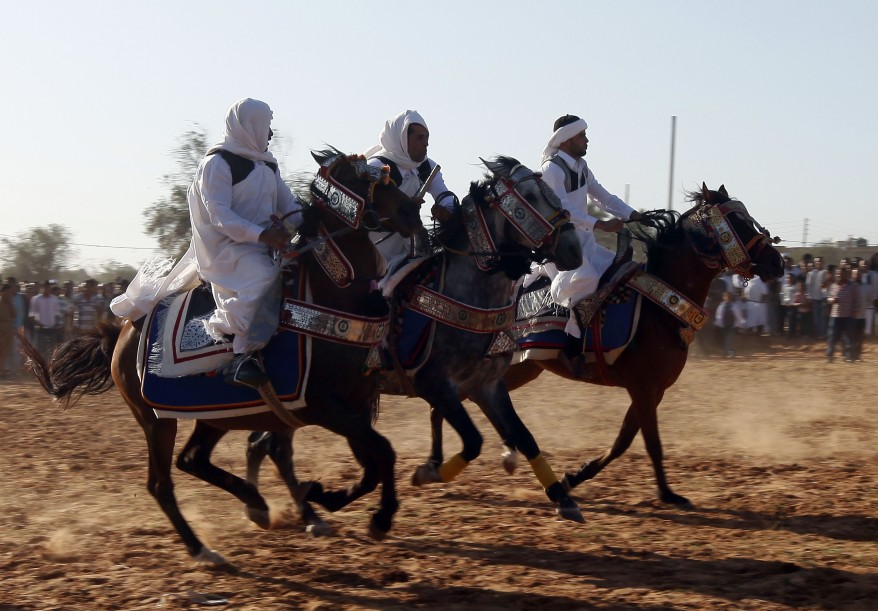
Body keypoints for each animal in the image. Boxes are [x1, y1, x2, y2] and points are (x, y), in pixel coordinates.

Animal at [21, 149, 426, 568]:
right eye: (361, 179)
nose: (411, 209)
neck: (334, 298)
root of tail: (121, 332)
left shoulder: (355, 406)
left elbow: (375, 463)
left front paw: (331, 499)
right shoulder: (325, 406)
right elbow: (382, 452)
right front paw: (367, 512)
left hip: (214, 416)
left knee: (192, 460)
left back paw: (255, 503)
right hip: (155, 421)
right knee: (161, 482)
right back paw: (204, 548)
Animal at [248, 157, 592, 532]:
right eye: (529, 196)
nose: (573, 249)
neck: (469, 292)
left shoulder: (486, 386)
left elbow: (524, 437)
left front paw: (563, 498)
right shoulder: (435, 384)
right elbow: (473, 441)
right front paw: (427, 473)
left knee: (264, 442)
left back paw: (277, 509)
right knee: (276, 447)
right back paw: (304, 512)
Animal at [422, 184, 788, 510]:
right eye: (737, 221)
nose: (778, 263)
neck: (659, 309)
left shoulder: (652, 391)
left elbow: (622, 442)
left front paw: (574, 477)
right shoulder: (643, 387)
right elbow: (651, 444)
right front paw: (668, 495)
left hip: (520, 371)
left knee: (444, 406)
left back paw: (450, 463)